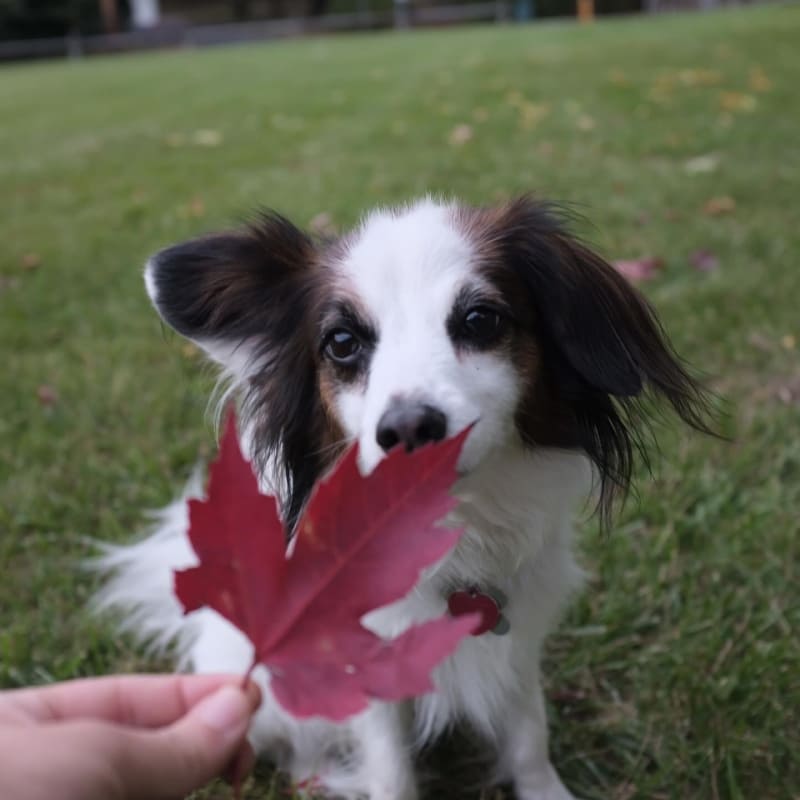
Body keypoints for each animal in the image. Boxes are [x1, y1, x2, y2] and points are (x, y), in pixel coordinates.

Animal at [97, 195, 708, 800]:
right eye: (342, 343)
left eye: (480, 320)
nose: (409, 428)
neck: (452, 532)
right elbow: (391, 768)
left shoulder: (517, 645)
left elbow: (530, 735)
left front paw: (544, 791)